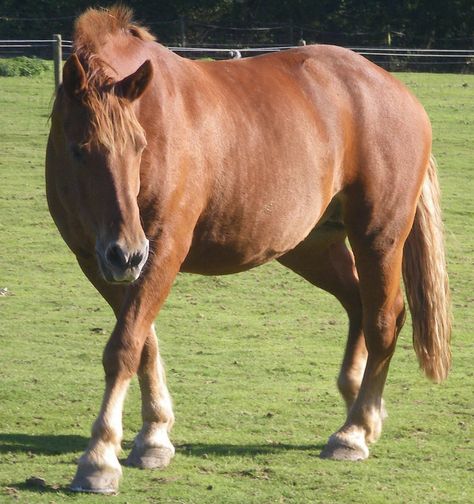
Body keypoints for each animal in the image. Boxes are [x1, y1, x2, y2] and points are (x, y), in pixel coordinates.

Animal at [45, 5, 452, 494]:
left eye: (139, 146)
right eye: (79, 149)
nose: (126, 253)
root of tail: (398, 93)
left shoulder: (160, 252)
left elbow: (125, 346)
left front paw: (100, 457)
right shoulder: (96, 262)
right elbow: (144, 344)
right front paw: (154, 435)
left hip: (379, 236)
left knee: (383, 320)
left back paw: (353, 432)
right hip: (311, 246)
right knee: (359, 303)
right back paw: (363, 411)